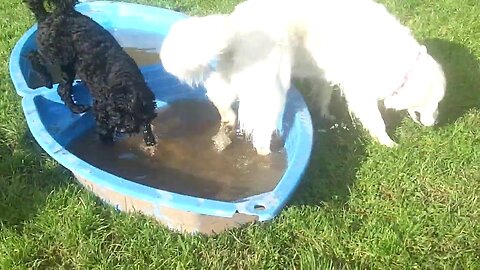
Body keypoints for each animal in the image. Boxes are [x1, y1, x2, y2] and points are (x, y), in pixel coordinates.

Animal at [25, 0, 157, 146]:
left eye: (131, 113)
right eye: (115, 113)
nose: (121, 129)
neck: (123, 78)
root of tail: (47, 16)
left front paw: (149, 138)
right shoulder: (101, 107)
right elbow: (103, 127)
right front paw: (106, 142)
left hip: (69, 65)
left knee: (62, 89)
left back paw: (76, 108)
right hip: (56, 53)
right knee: (33, 55)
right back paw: (46, 79)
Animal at [161, 0, 446, 155]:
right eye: (432, 104)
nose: (435, 124)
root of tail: (236, 25)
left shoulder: (326, 75)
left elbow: (324, 95)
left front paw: (326, 114)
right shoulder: (361, 94)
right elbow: (376, 121)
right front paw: (389, 143)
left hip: (236, 77)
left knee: (218, 96)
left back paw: (228, 120)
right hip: (271, 88)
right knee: (259, 131)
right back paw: (267, 155)